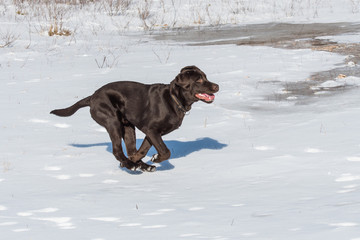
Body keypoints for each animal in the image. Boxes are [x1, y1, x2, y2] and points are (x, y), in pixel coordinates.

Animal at [50, 64, 219, 172]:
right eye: (199, 80)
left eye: (205, 77)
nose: (217, 86)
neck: (174, 100)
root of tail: (92, 97)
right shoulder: (151, 129)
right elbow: (165, 151)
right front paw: (153, 158)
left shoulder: (152, 133)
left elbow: (142, 150)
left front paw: (139, 160)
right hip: (112, 122)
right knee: (117, 150)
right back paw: (131, 165)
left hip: (128, 127)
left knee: (129, 149)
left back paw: (140, 165)